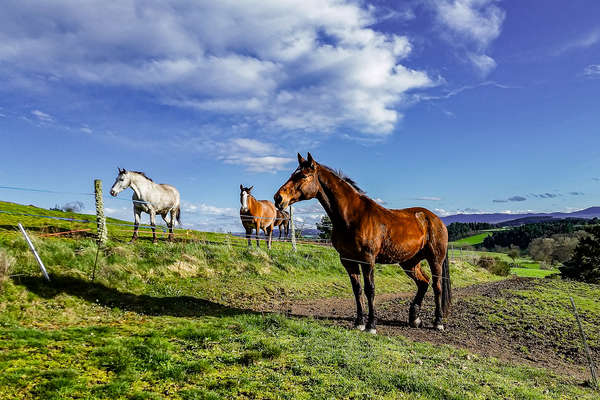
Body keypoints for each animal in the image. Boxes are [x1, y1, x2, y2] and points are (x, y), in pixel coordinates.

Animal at [272, 155, 450, 332]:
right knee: (423, 283)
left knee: (437, 286)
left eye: (303, 176)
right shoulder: (348, 260)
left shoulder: (367, 260)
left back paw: (438, 322)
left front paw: (371, 325)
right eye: (292, 174)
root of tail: (435, 219)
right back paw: (415, 319)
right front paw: (359, 322)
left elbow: (369, 289)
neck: (352, 216)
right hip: (409, 262)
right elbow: (357, 290)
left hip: (435, 260)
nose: (278, 198)